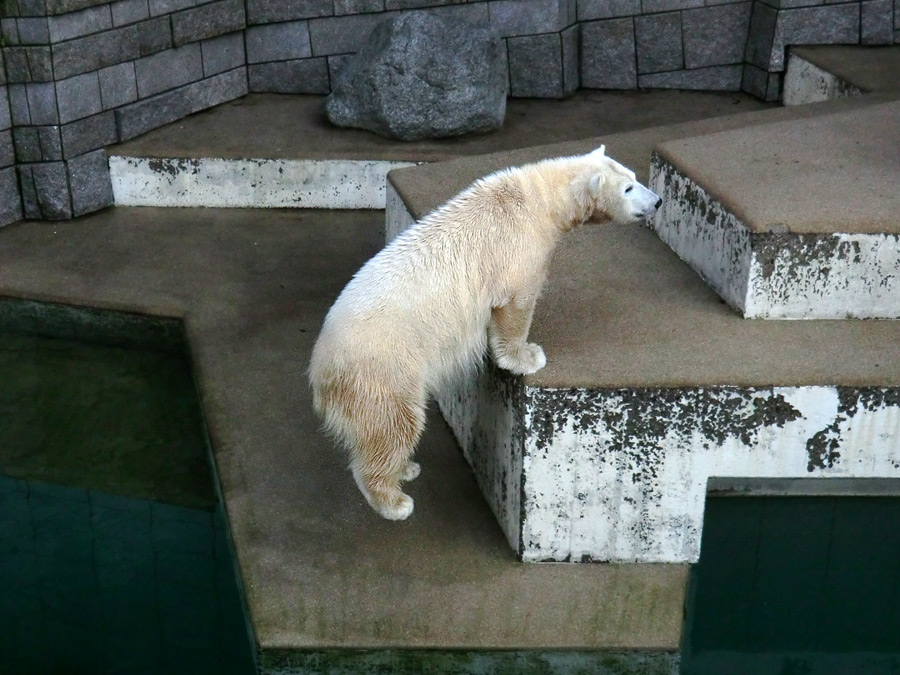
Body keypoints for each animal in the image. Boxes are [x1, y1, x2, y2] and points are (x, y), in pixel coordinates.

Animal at [310, 145, 660, 520]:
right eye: (628, 188)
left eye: (635, 178)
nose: (657, 201)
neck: (538, 199)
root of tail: (320, 367)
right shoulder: (518, 251)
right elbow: (516, 306)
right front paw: (527, 356)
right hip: (384, 369)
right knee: (394, 425)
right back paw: (394, 500)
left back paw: (406, 468)